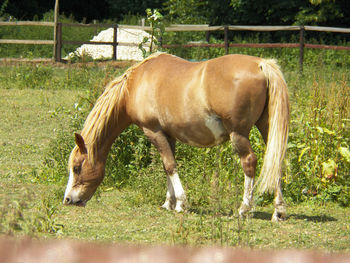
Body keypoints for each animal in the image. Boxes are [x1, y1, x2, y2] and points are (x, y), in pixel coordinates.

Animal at [63, 52, 290, 222]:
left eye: (77, 167)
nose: (68, 200)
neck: (135, 86)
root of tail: (261, 64)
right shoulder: (168, 135)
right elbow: (167, 166)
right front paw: (168, 202)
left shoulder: (153, 131)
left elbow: (171, 166)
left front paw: (181, 203)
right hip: (267, 128)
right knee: (275, 160)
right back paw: (278, 210)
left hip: (239, 134)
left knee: (249, 162)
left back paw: (244, 208)